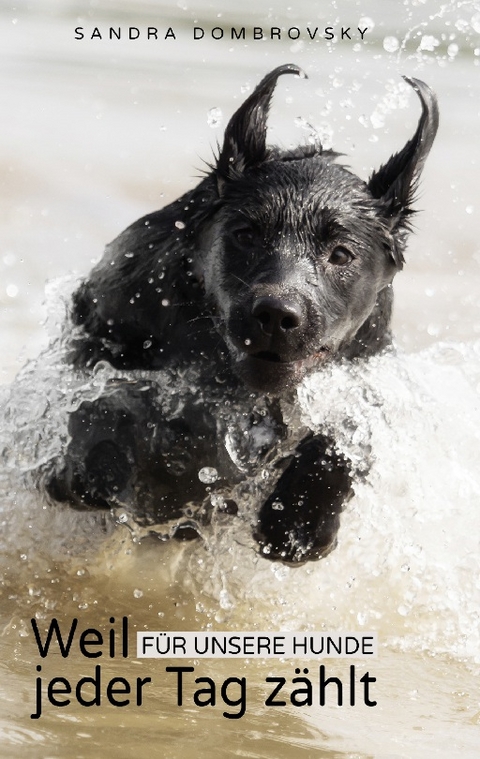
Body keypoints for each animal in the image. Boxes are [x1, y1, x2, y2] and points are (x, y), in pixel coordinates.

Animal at [46, 65, 438, 564]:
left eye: (341, 253)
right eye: (247, 233)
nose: (277, 315)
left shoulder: (367, 365)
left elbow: (346, 427)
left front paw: (300, 519)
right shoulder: (105, 325)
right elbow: (105, 400)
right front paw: (105, 462)